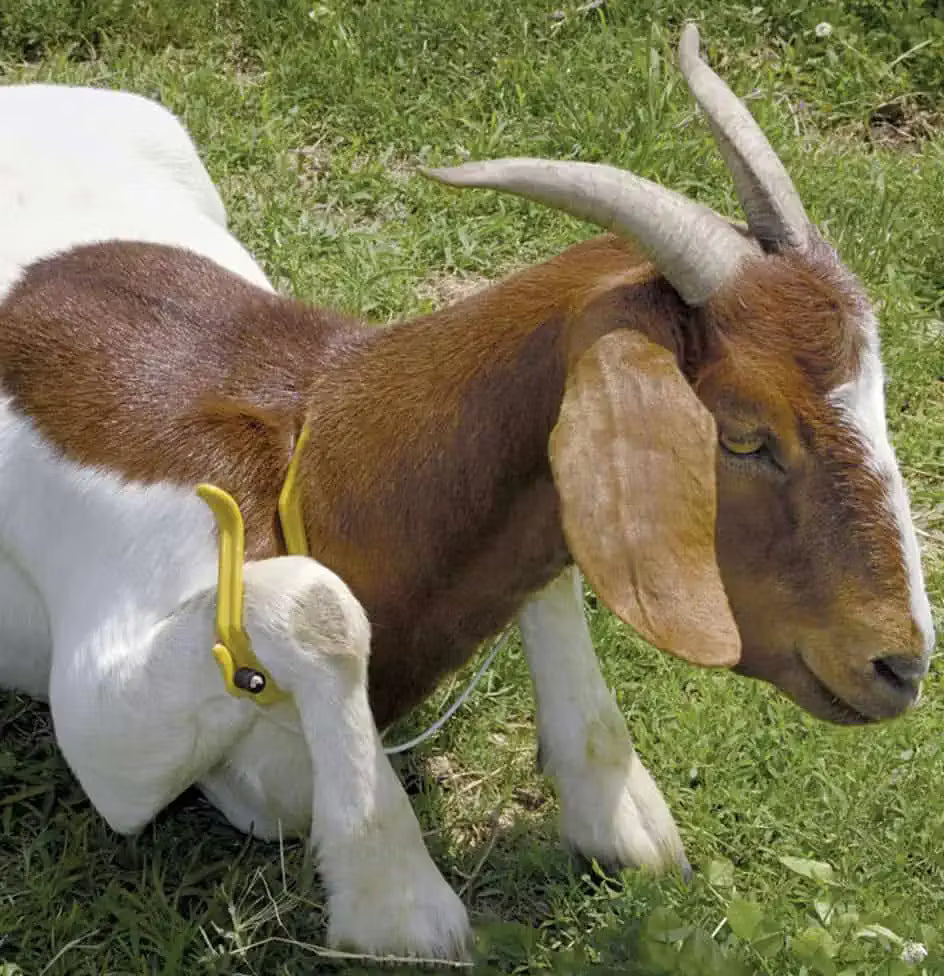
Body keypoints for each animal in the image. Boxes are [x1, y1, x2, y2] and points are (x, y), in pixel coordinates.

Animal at [0, 24, 934, 962]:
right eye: (744, 436)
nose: (900, 666)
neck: (310, 463)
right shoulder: (104, 725)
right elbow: (317, 606)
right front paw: (398, 906)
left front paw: (618, 816)